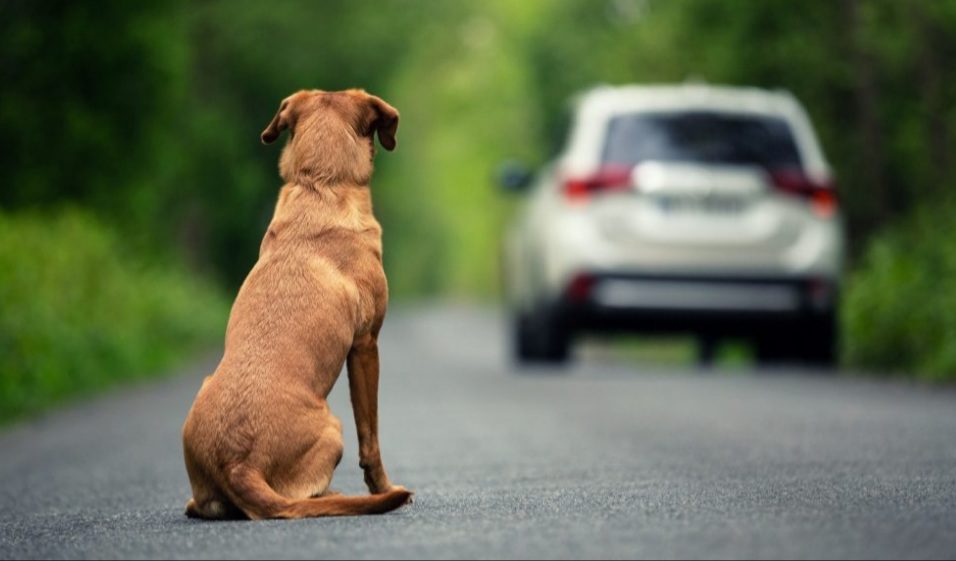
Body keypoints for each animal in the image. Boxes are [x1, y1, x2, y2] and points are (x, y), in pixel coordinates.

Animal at [183, 88, 410, 520]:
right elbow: (370, 436)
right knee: (306, 496)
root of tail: (238, 464)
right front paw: (384, 487)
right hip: (333, 428)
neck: (320, 183)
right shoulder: (366, 345)